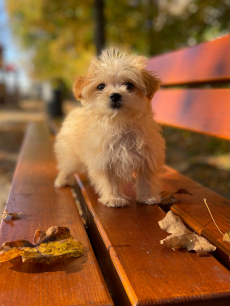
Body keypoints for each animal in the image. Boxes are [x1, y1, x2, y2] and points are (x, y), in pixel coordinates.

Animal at [54, 49, 164, 208]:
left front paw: (147, 197)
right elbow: (109, 181)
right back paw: (61, 180)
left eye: (129, 85)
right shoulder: (103, 160)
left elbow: (146, 180)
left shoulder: (148, 157)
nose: (115, 96)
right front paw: (113, 198)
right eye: (101, 86)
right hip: (71, 155)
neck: (119, 124)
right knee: (66, 166)